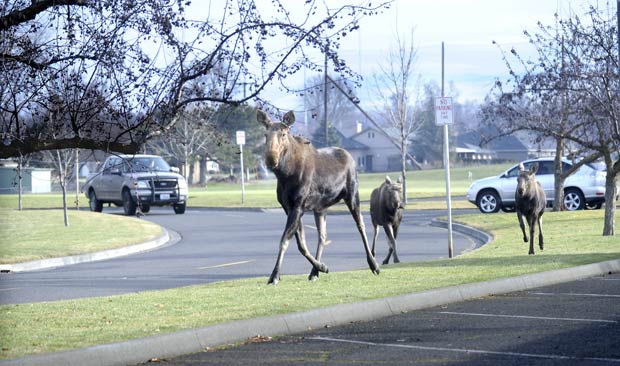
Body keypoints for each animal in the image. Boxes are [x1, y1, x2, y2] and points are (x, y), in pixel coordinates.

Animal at [256, 110, 378, 284]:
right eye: (265, 134)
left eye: (284, 134)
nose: (271, 158)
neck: (285, 175)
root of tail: (350, 157)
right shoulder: (289, 207)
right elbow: (301, 244)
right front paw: (321, 267)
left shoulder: (298, 205)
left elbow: (285, 240)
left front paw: (275, 275)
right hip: (321, 207)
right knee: (323, 235)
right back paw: (315, 271)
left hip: (352, 195)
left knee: (360, 225)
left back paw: (373, 263)